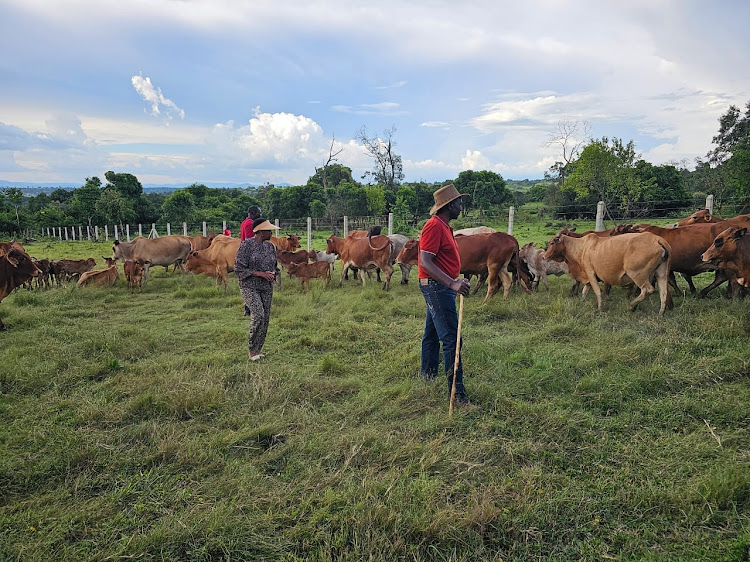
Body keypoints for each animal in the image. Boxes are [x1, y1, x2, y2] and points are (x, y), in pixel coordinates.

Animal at [544, 230, 672, 312]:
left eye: (552, 243)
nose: (544, 256)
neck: (581, 247)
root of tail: (656, 239)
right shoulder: (588, 277)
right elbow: (585, 291)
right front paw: (581, 302)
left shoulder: (591, 273)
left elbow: (597, 291)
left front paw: (600, 308)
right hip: (661, 274)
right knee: (663, 293)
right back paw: (661, 313)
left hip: (637, 274)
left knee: (647, 290)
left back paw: (631, 306)